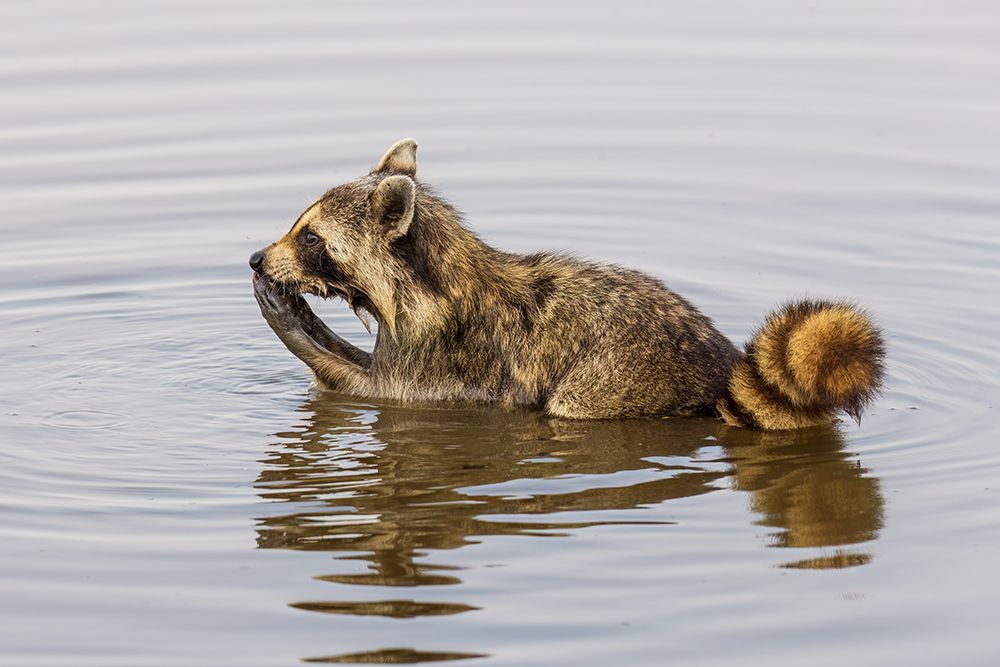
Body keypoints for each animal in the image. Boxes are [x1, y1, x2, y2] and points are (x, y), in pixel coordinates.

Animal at [250, 139, 885, 430]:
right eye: (300, 225)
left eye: (311, 238)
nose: (257, 259)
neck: (435, 272)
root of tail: (725, 364)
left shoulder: (445, 356)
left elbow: (374, 390)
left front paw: (297, 326)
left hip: (614, 380)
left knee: (574, 405)